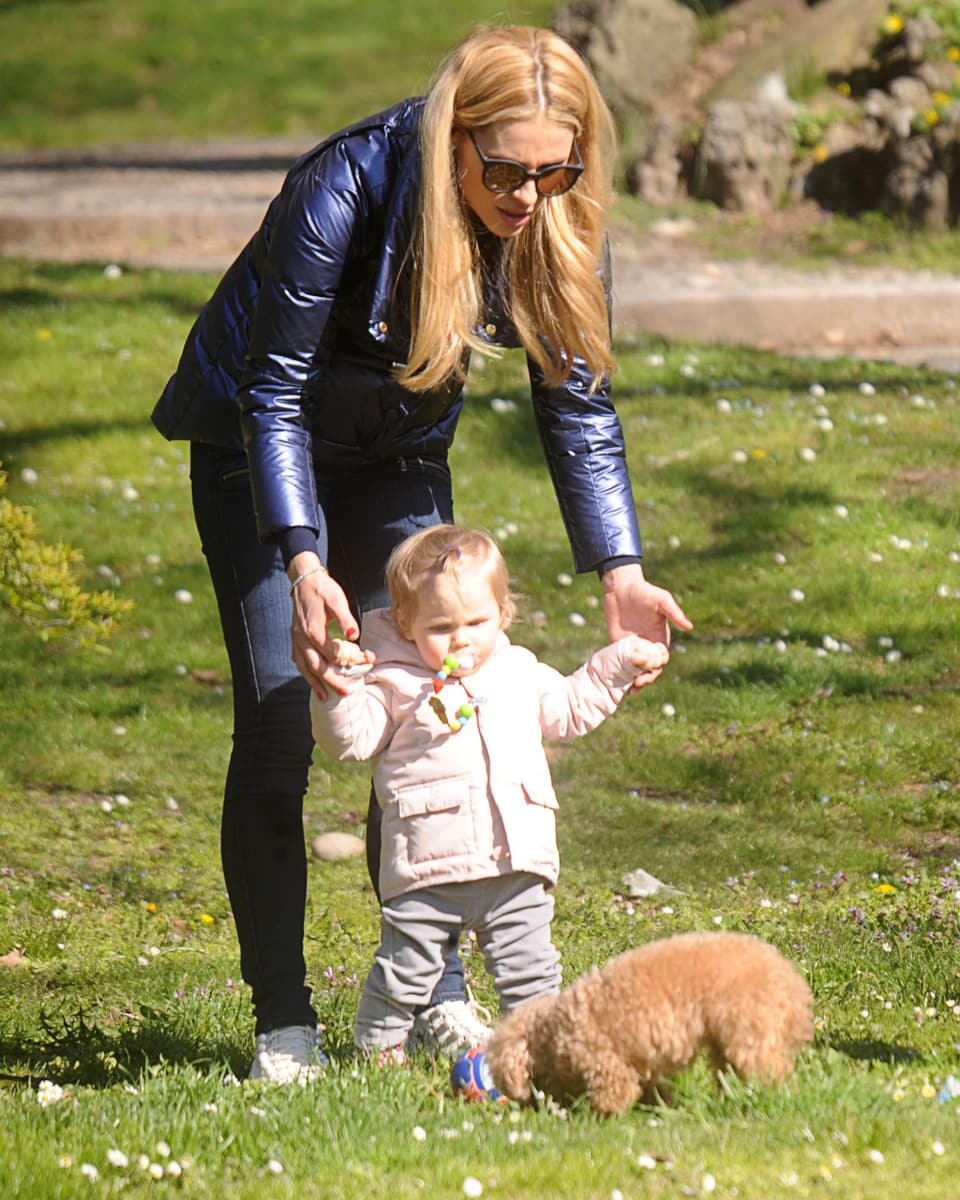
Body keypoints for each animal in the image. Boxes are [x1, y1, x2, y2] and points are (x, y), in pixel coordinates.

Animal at [487, 926, 811, 1113]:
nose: (533, 1109)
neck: (551, 1032)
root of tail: (788, 977)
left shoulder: (607, 1064)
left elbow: (613, 1096)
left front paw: (598, 1118)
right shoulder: (642, 1068)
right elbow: (653, 1092)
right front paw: (661, 1110)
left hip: (749, 1033)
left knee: (773, 1072)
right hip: (725, 1041)